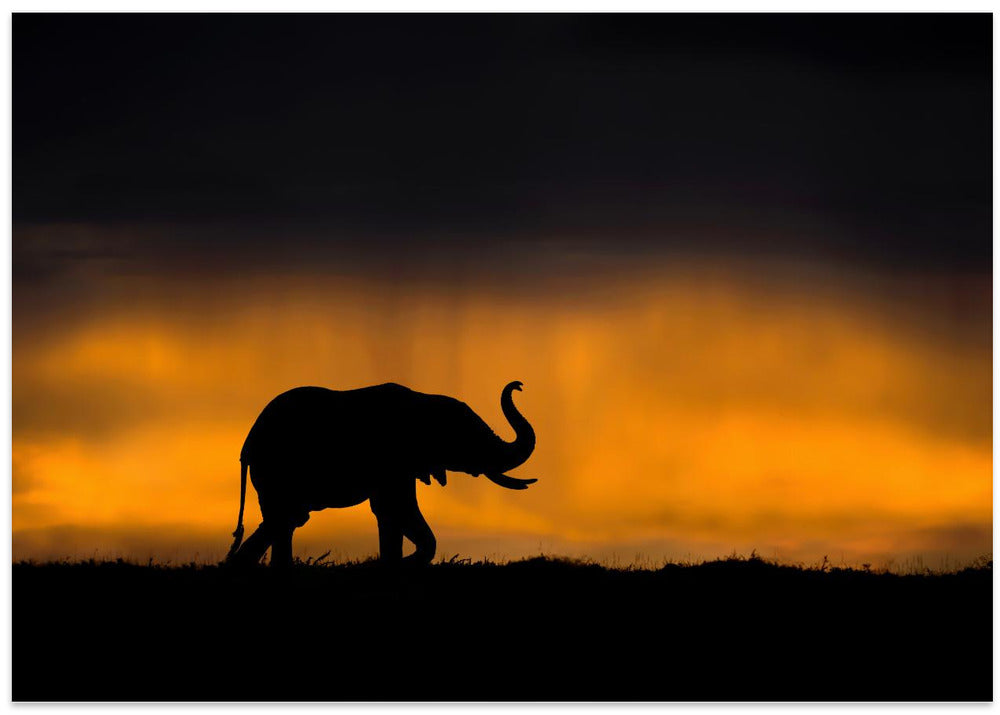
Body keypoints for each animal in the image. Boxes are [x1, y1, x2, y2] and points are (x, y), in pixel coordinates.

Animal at [226, 380, 537, 567]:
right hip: (275, 470)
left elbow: (390, 512)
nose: (519, 386)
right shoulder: (392, 460)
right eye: (465, 437)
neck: (423, 401)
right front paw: (394, 563)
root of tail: (246, 445)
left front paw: (392, 562)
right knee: (284, 519)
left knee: (285, 521)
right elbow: (396, 507)